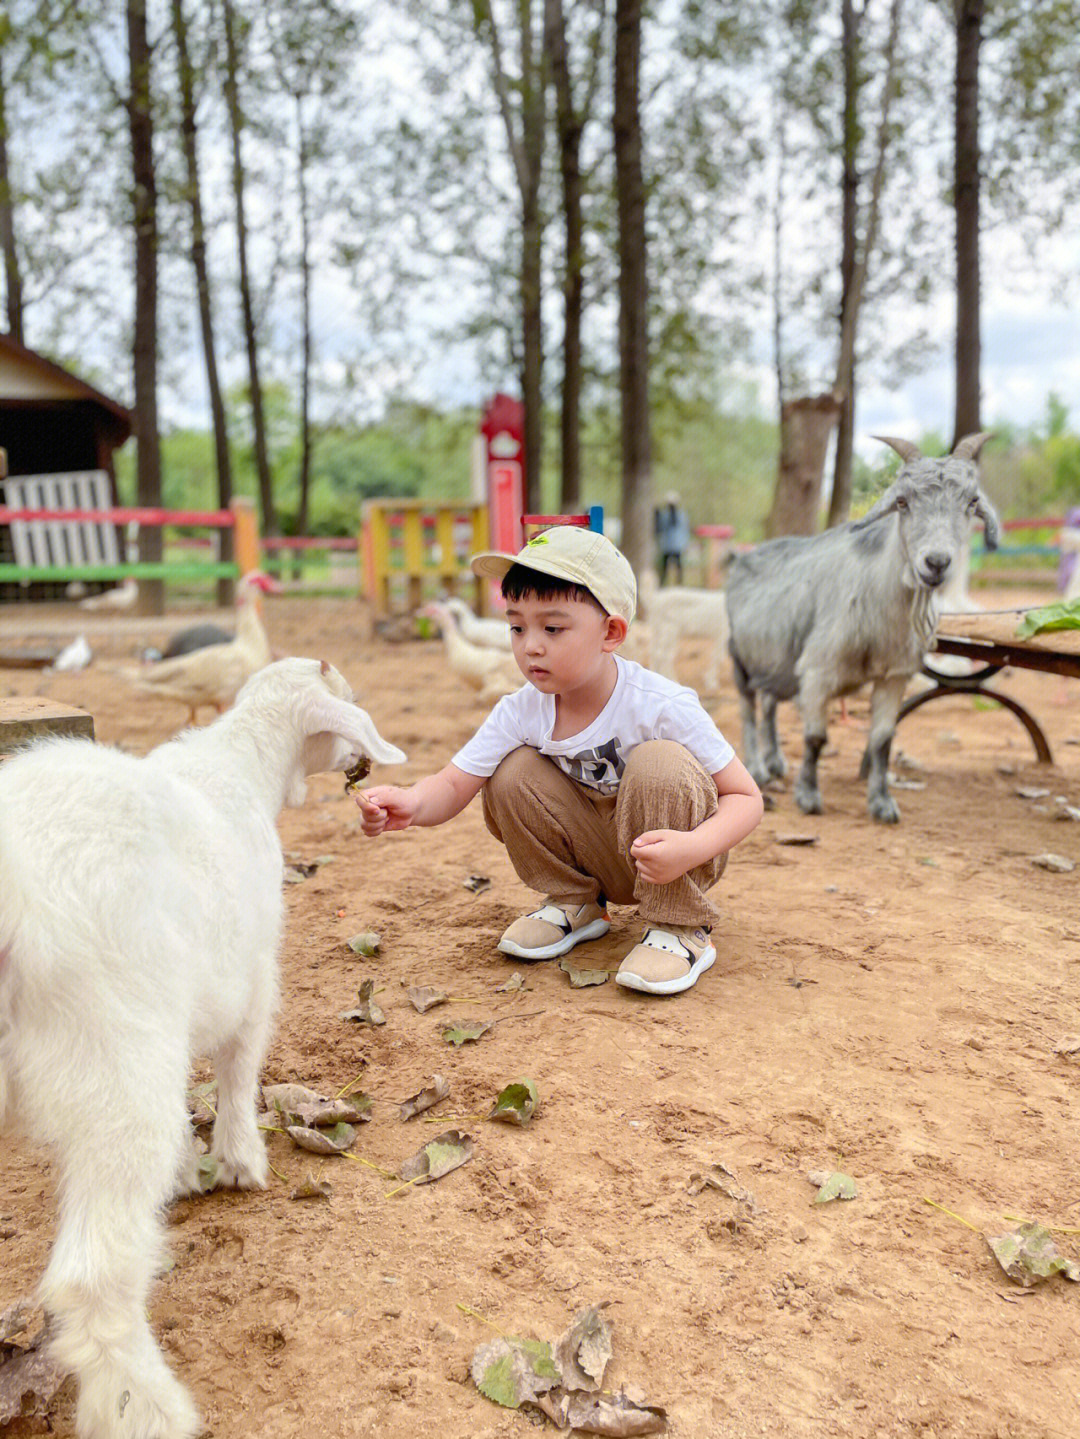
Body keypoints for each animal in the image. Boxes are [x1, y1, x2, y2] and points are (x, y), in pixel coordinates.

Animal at [0, 659, 405, 1439]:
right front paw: (241, 1163)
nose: (360, 766)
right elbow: (237, 1069)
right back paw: (147, 1409)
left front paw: (191, 1168)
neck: (237, 762)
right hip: (111, 1049)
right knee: (93, 1276)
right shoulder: (250, 974)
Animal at [721, 428, 1000, 823]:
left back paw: (775, 763)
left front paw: (882, 803)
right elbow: (816, 737)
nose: (936, 563)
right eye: (902, 501)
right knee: (747, 708)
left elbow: (882, 739)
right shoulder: (817, 671)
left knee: (771, 703)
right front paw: (808, 796)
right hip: (740, 657)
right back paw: (757, 769)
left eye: (972, 502)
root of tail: (744, 557)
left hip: (777, 660)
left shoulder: (894, 676)